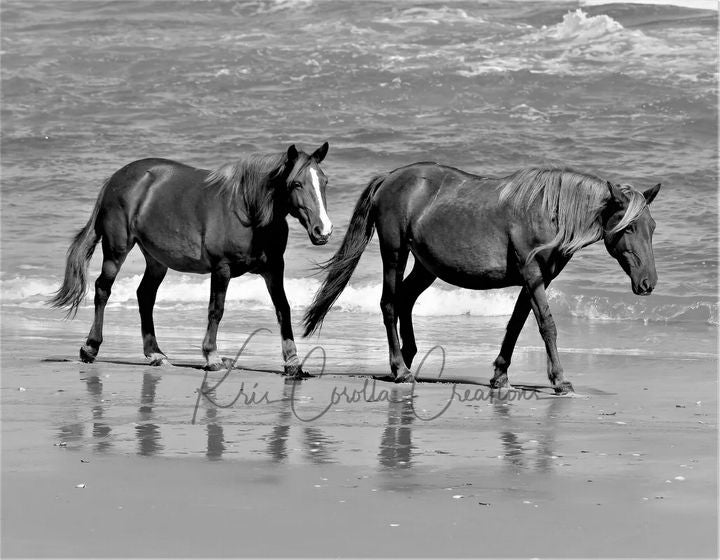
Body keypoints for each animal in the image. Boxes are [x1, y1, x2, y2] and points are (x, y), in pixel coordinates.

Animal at [50, 142, 332, 374]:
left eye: (324, 181)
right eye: (296, 183)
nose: (323, 230)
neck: (247, 212)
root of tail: (116, 179)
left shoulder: (273, 268)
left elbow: (283, 308)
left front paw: (293, 361)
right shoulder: (222, 269)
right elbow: (216, 310)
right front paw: (212, 356)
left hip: (156, 259)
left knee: (145, 295)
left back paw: (155, 353)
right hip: (117, 250)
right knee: (102, 289)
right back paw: (90, 348)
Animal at [300, 161, 660, 394]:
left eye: (652, 227)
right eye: (628, 227)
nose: (648, 283)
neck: (547, 212)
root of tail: (390, 177)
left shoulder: (535, 279)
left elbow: (516, 323)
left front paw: (500, 375)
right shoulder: (532, 275)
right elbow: (546, 324)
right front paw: (560, 380)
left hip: (425, 267)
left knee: (404, 300)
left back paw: (408, 357)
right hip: (395, 253)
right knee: (389, 303)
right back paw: (400, 369)